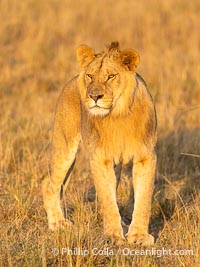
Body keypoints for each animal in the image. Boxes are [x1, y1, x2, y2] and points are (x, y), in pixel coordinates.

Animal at [42, 41, 158, 247]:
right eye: (90, 76)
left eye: (111, 76)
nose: (94, 96)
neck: (118, 114)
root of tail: (73, 78)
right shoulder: (100, 159)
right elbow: (107, 200)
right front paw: (112, 236)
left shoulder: (146, 156)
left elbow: (143, 199)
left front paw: (138, 236)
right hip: (65, 146)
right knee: (48, 184)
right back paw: (57, 223)